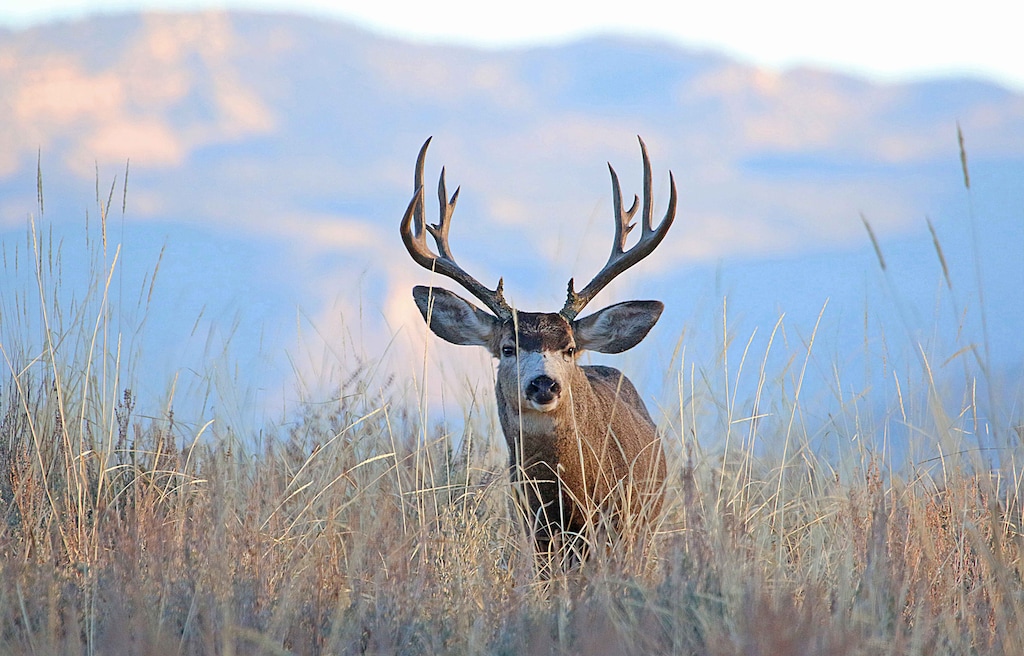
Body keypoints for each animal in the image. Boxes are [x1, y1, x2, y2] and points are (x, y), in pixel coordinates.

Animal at [400, 136, 675, 571]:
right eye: (507, 348)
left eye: (569, 348)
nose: (543, 384)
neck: (565, 499)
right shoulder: (537, 531)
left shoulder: (618, 527)